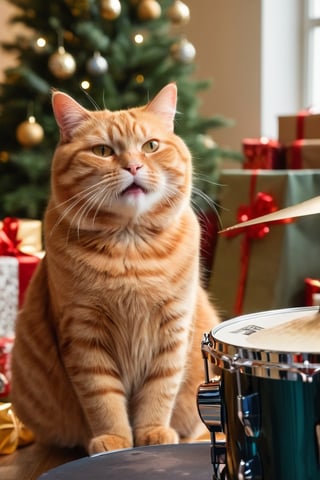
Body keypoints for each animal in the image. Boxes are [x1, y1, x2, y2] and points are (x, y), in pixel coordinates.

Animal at [10, 82, 220, 454]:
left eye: (150, 146)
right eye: (103, 150)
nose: (133, 166)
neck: (130, 248)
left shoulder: (172, 329)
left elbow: (159, 391)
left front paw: (153, 432)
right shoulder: (83, 333)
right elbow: (102, 398)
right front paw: (116, 440)